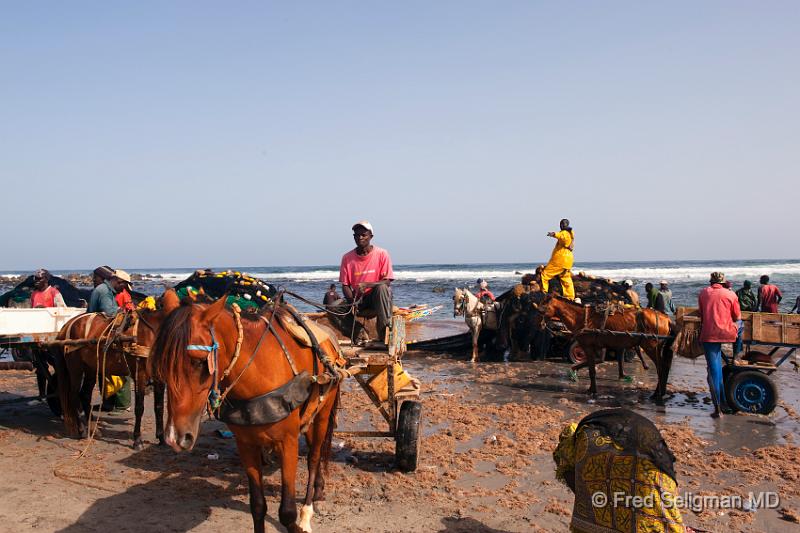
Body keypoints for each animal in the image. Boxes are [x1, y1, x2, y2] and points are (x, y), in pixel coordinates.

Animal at [55, 288, 180, 446]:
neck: (153, 332)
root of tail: (67, 325)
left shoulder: (158, 377)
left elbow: (159, 408)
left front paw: (161, 438)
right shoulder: (140, 373)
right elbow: (139, 407)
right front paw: (137, 439)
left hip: (91, 368)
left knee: (85, 395)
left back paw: (92, 429)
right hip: (75, 367)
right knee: (74, 395)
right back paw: (82, 430)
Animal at [150, 296, 340, 532]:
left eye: (199, 362)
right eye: (162, 365)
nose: (174, 438)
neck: (257, 373)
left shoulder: (287, 442)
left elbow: (287, 512)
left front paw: (298, 523)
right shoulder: (246, 444)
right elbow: (257, 506)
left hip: (323, 414)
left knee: (314, 457)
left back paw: (307, 510)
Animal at [536, 294, 676, 402]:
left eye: (542, 309)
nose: (539, 325)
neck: (583, 318)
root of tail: (667, 319)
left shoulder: (588, 347)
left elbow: (592, 371)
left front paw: (592, 390)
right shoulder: (595, 347)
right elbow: (593, 365)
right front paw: (578, 376)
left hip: (651, 346)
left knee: (661, 368)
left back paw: (657, 394)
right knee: (663, 367)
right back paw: (659, 393)